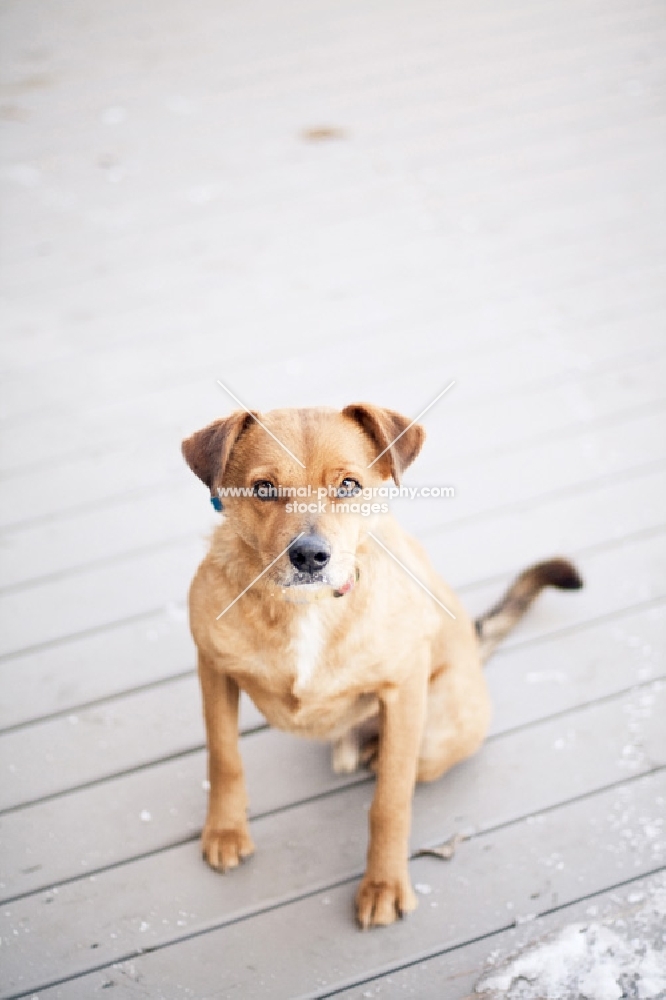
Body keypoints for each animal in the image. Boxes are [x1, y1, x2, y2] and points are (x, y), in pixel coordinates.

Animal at [182, 406, 580, 928]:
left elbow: (390, 804)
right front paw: (226, 830)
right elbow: (224, 757)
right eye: (264, 488)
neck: (305, 608)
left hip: (436, 732)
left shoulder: (404, 691)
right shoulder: (213, 668)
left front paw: (384, 884)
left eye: (349, 485)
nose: (310, 556)